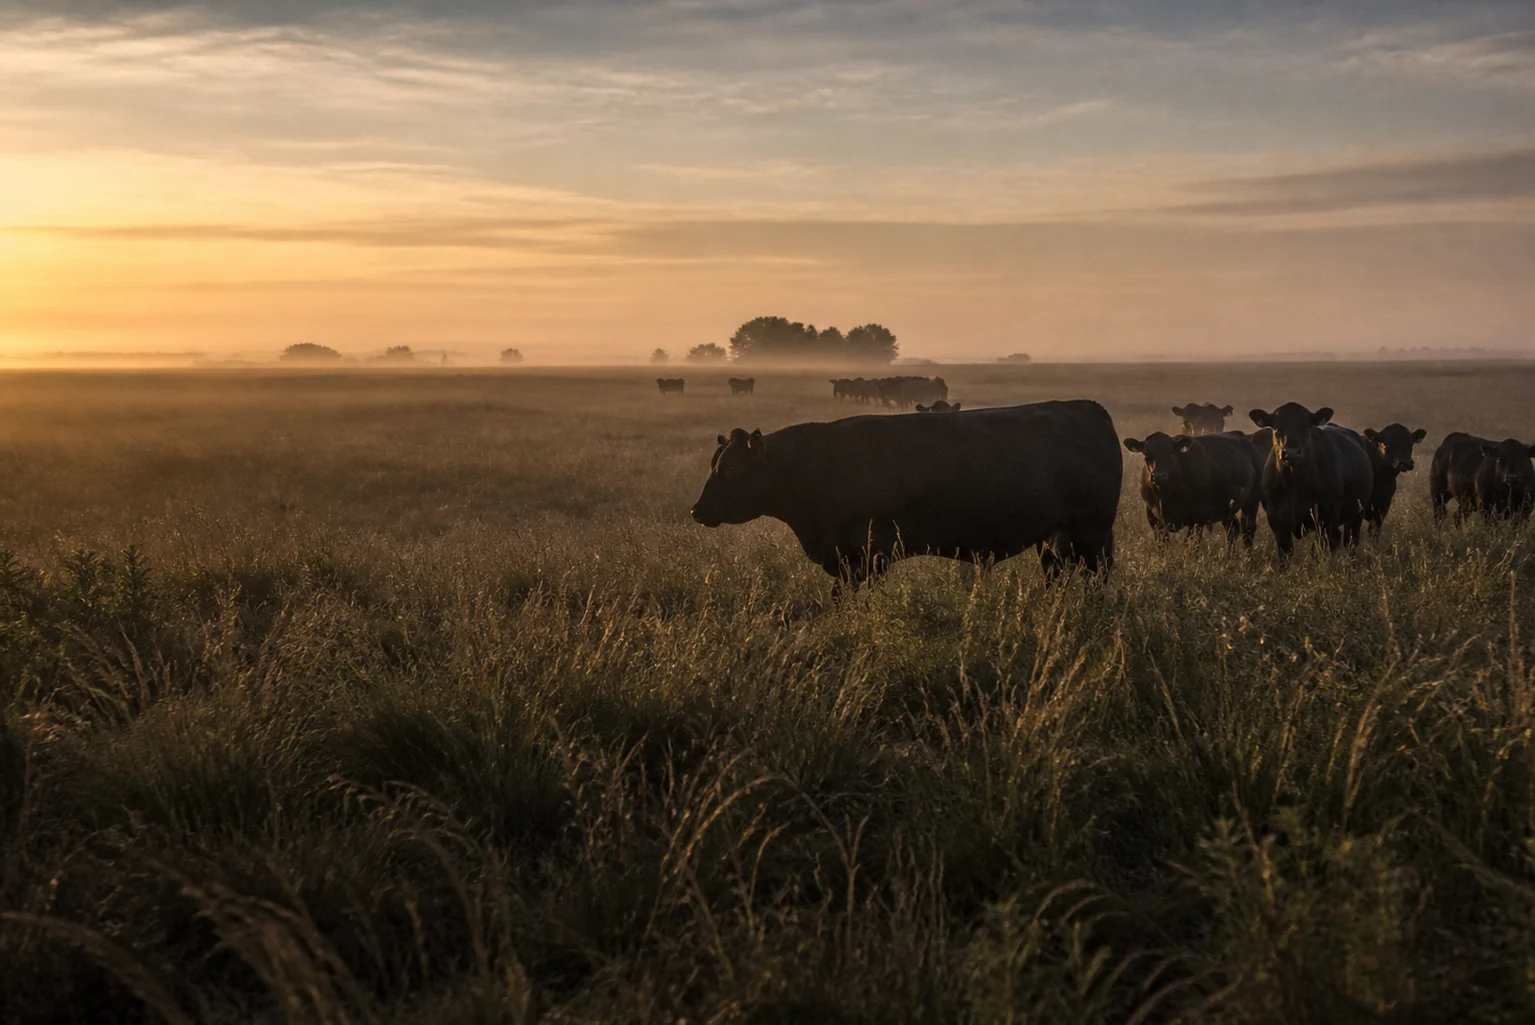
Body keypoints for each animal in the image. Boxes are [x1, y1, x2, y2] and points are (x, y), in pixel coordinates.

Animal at [691, 400, 1122, 594]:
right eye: (714, 464)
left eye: (730, 470)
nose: (697, 510)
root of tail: (1084, 408)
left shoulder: (868, 556)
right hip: (1055, 539)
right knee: (1056, 575)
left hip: (1092, 536)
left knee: (1097, 576)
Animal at [1122, 431, 1263, 547]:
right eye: (1146, 456)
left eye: (1171, 453)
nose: (1158, 476)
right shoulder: (1154, 520)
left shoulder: (1198, 519)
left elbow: (1192, 545)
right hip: (1227, 510)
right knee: (1232, 530)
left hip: (1252, 501)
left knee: (1248, 531)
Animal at [1248, 403, 1373, 558]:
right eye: (1277, 428)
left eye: (1305, 426)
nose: (1292, 452)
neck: (1294, 484)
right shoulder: (1275, 519)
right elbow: (1285, 551)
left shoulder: (1327, 518)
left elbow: (1318, 550)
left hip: (1357, 513)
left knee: (1350, 541)